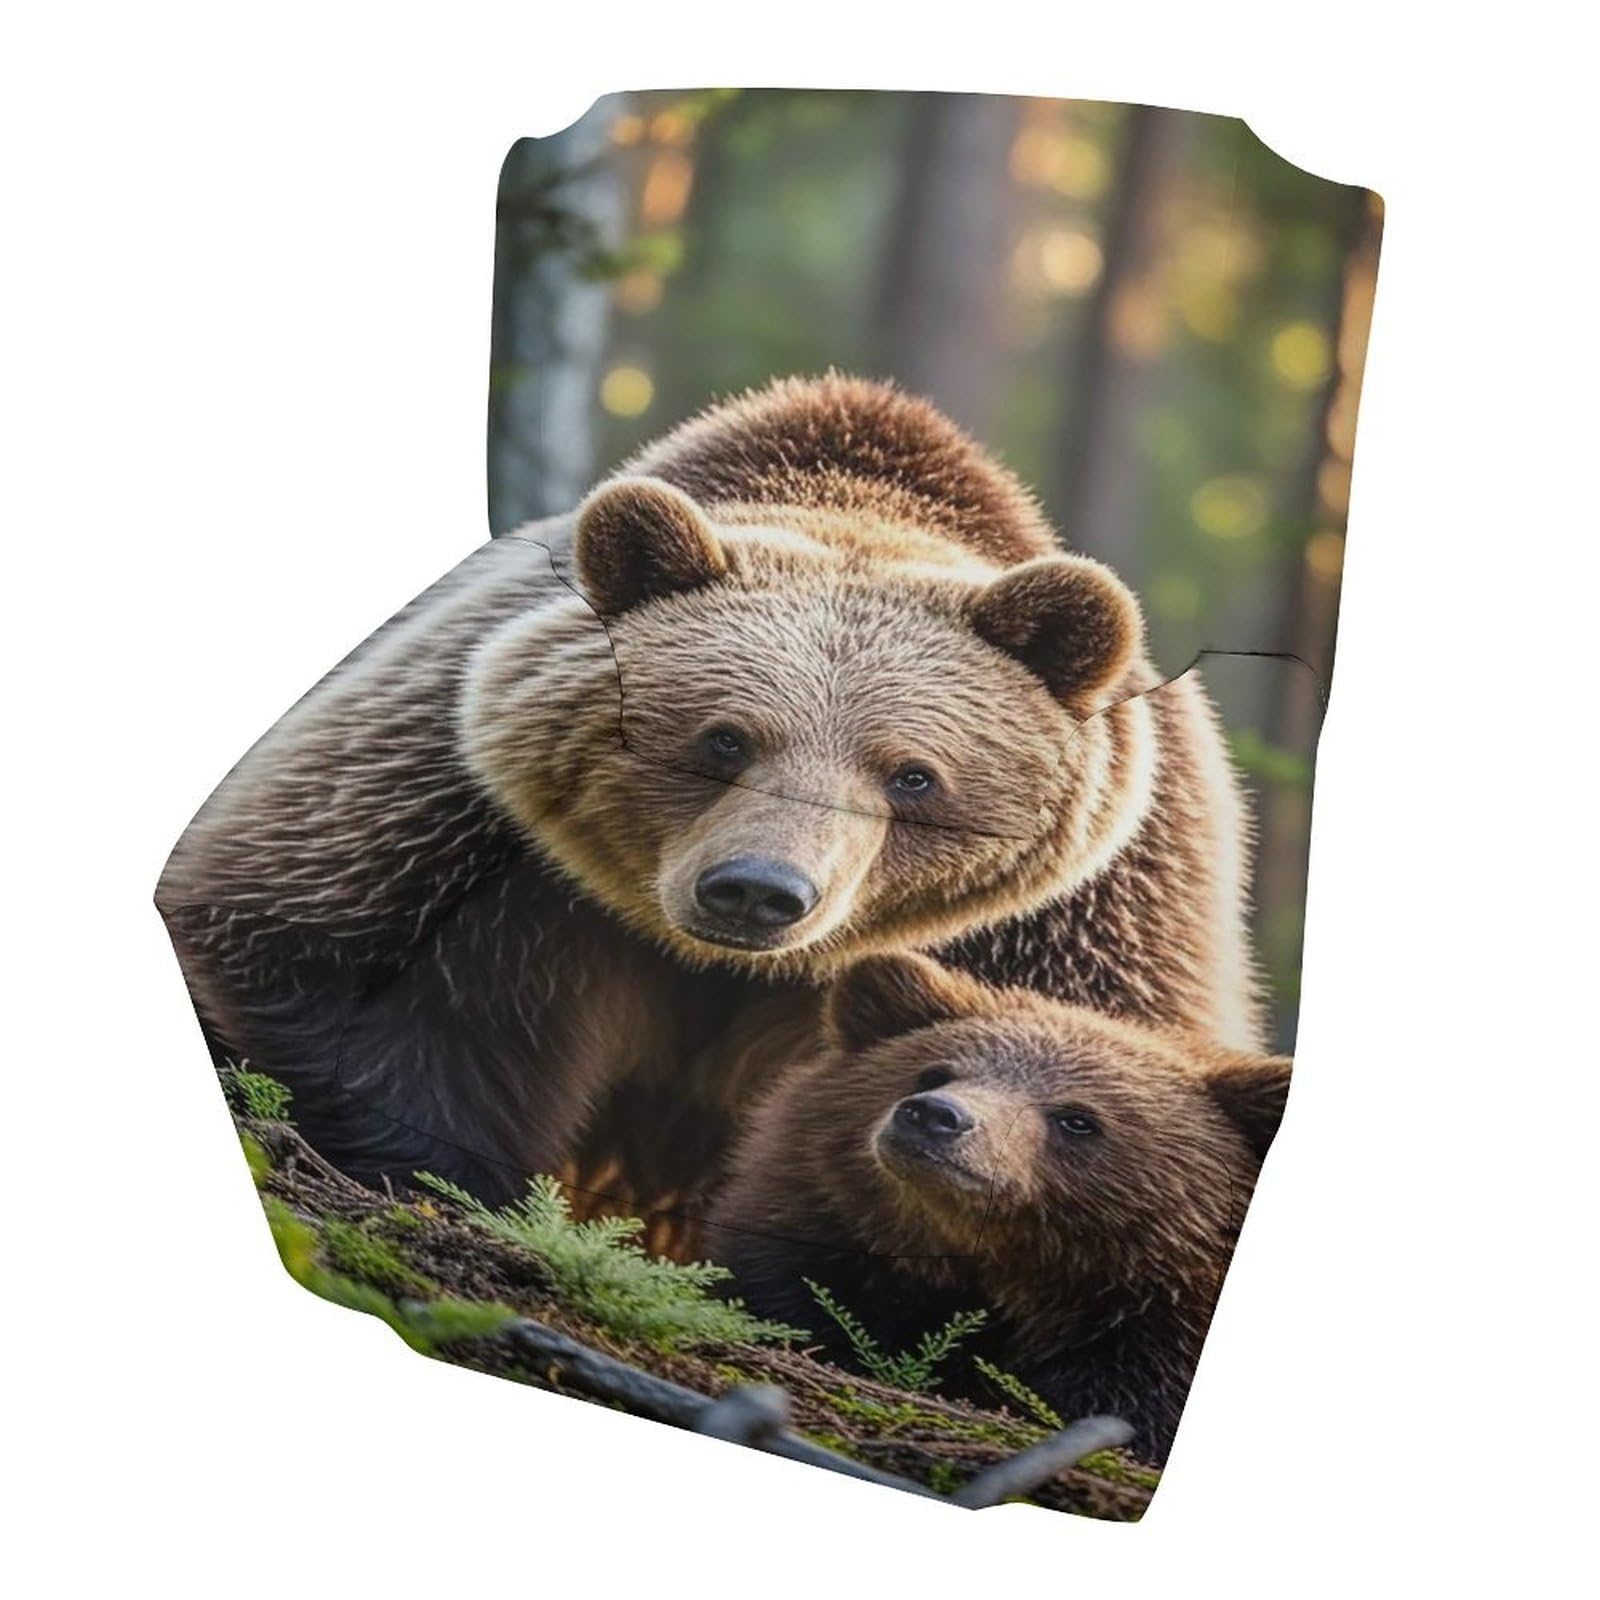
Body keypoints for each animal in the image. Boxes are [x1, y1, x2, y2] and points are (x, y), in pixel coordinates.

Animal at [158, 373, 1257, 1213]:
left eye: (912, 773)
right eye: (723, 738)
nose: (758, 890)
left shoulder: (1085, 918)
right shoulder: (465, 819)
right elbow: (330, 961)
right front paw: (444, 1174)